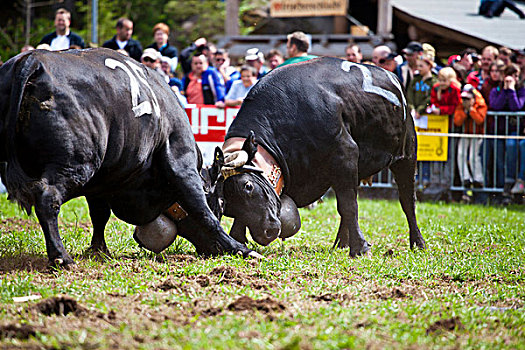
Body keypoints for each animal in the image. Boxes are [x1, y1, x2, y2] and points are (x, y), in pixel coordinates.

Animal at [0, 47, 252, 266]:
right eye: (221, 202)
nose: (207, 251)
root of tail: (32, 60)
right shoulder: (181, 160)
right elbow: (200, 207)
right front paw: (238, 247)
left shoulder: (101, 183)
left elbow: (99, 214)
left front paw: (99, 250)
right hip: (76, 163)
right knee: (47, 197)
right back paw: (62, 257)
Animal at [217, 56, 426, 256]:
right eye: (228, 206)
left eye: (248, 186)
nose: (265, 233)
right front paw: (237, 239)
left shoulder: (346, 155)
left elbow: (349, 206)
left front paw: (360, 248)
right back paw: (341, 243)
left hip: (406, 157)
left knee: (407, 201)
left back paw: (418, 243)